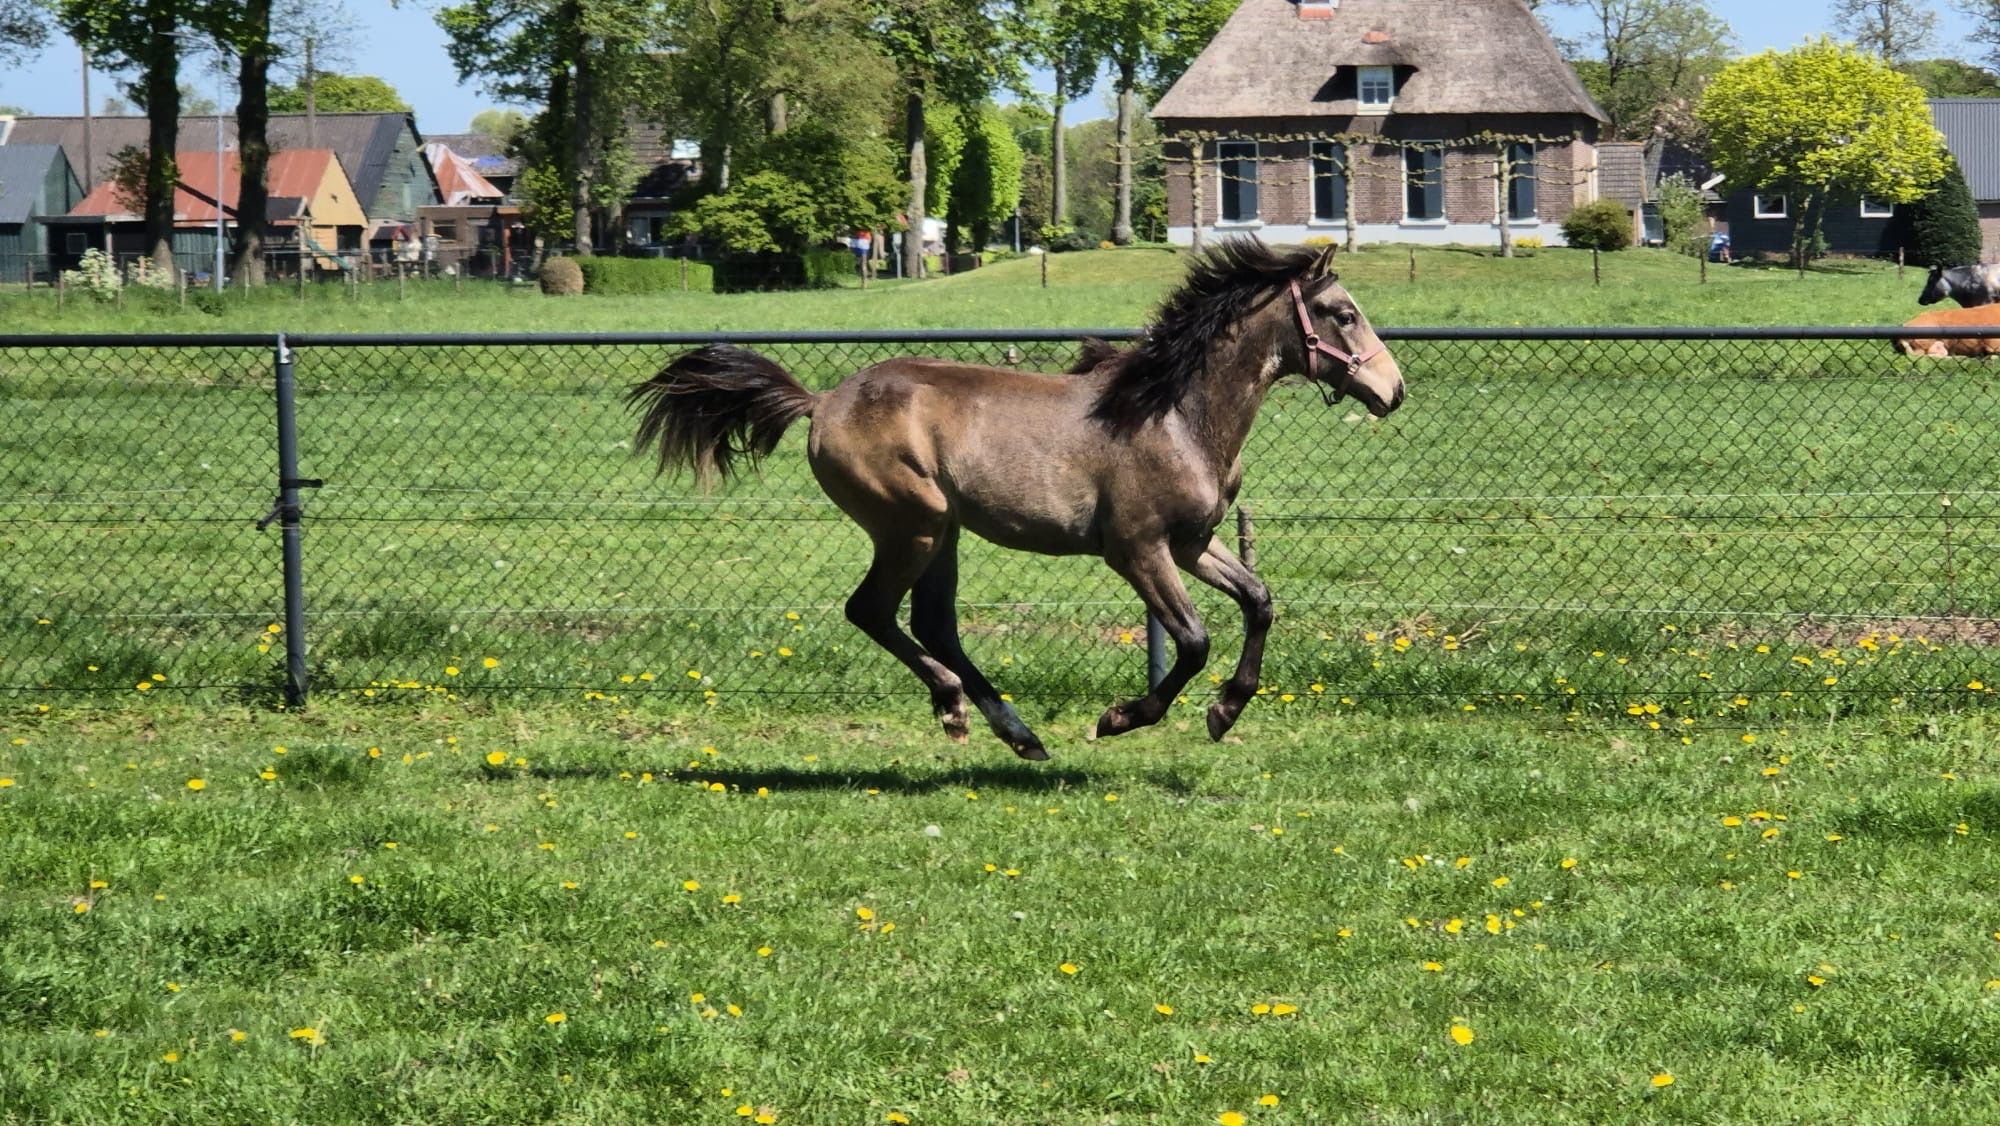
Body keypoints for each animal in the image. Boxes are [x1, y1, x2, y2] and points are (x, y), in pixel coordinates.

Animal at [627, 238, 1405, 759]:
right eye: (1340, 313)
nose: (1392, 390)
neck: (1171, 414)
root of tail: (820, 404)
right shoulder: (1137, 549)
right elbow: (1191, 640)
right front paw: (1119, 718)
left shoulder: (1191, 543)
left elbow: (1260, 600)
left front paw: (1226, 711)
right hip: (912, 526)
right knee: (873, 611)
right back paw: (964, 712)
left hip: (943, 535)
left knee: (932, 623)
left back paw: (1013, 731)